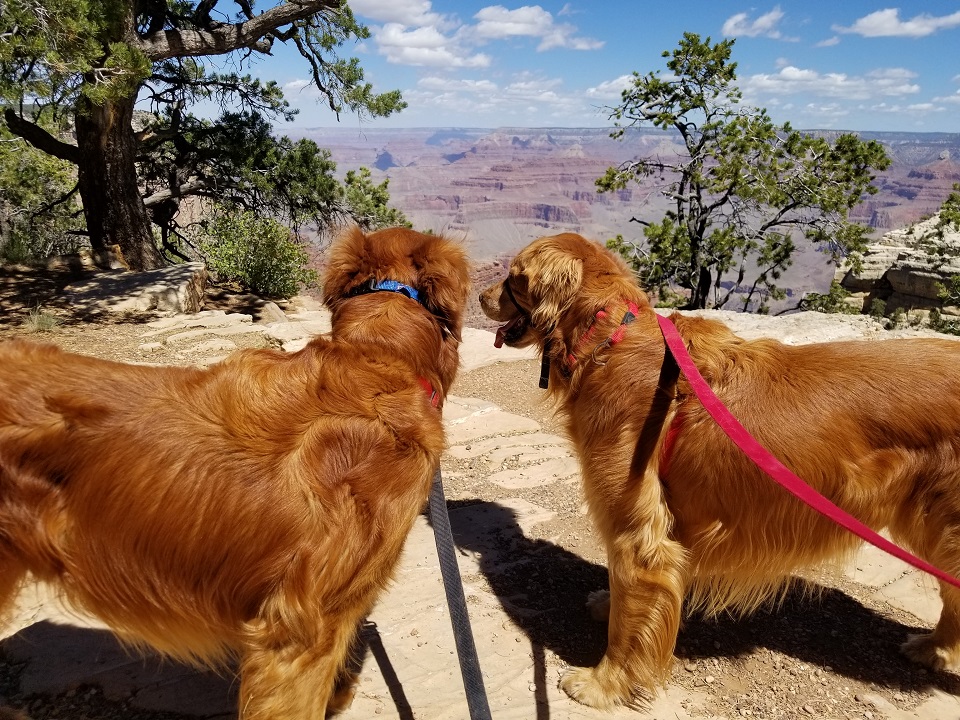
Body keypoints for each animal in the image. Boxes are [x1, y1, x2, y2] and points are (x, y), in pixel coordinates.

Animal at [480, 232, 960, 708]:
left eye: (514, 277)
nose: (480, 296)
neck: (610, 338)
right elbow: (627, 597)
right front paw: (606, 605)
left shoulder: (639, 536)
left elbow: (628, 622)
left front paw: (604, 684)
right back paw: (936, 649)